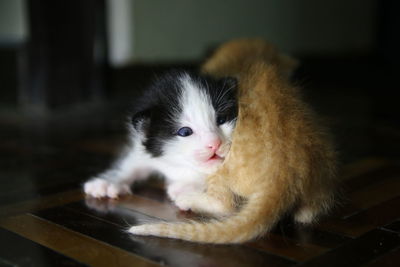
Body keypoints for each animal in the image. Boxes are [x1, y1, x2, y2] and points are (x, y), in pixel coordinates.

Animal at [83, 71, 236, 205]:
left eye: (221, 120)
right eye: (185, 132)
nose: (215, 143)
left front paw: (187, 187)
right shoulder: (144, 148)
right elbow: (130, 164)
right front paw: (108, 182)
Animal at [128, 38, 338, 245]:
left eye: (221, 120)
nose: (214, 143)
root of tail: (284, 175)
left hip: (222, 166)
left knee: (225, 205)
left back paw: (185, 199)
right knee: (309, 213)